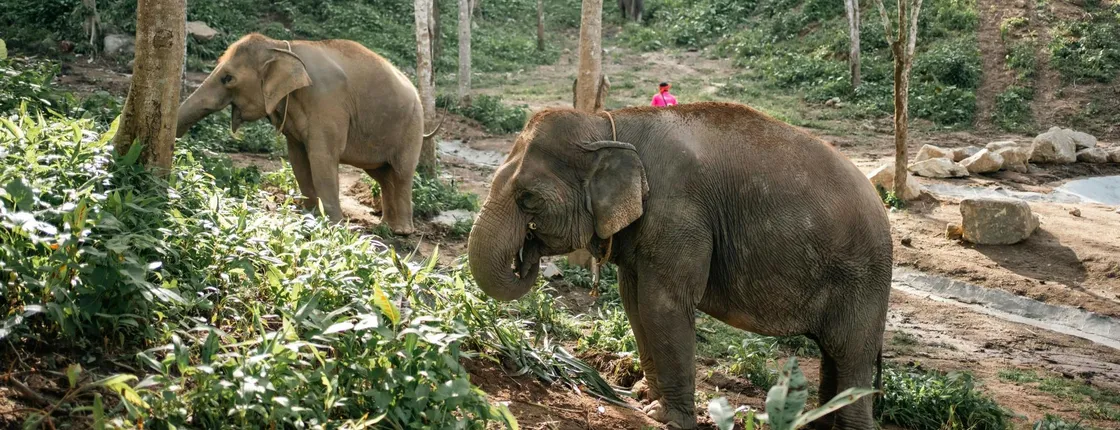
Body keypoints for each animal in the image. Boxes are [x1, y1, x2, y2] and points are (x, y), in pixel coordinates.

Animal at [176, 33, 437, 235]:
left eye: (227, 78)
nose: (179, 140)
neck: (282, 46)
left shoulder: (327, 102)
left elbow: (322, 158)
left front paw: (333, 226)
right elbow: (298, 159)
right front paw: (309, 217)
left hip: (412, 127)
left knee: (401, 173)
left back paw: (401, 231)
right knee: (383, 176)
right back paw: (385, 226)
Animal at [467, 102, 892, 429]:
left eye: (528, 199)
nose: (526, 255)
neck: (608, 123)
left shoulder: (679, 216)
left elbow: (662, 306)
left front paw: (667, 418)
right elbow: (634, 302)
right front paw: (643, 397)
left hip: (863, 278)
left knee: (850, 355)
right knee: (833, 356)